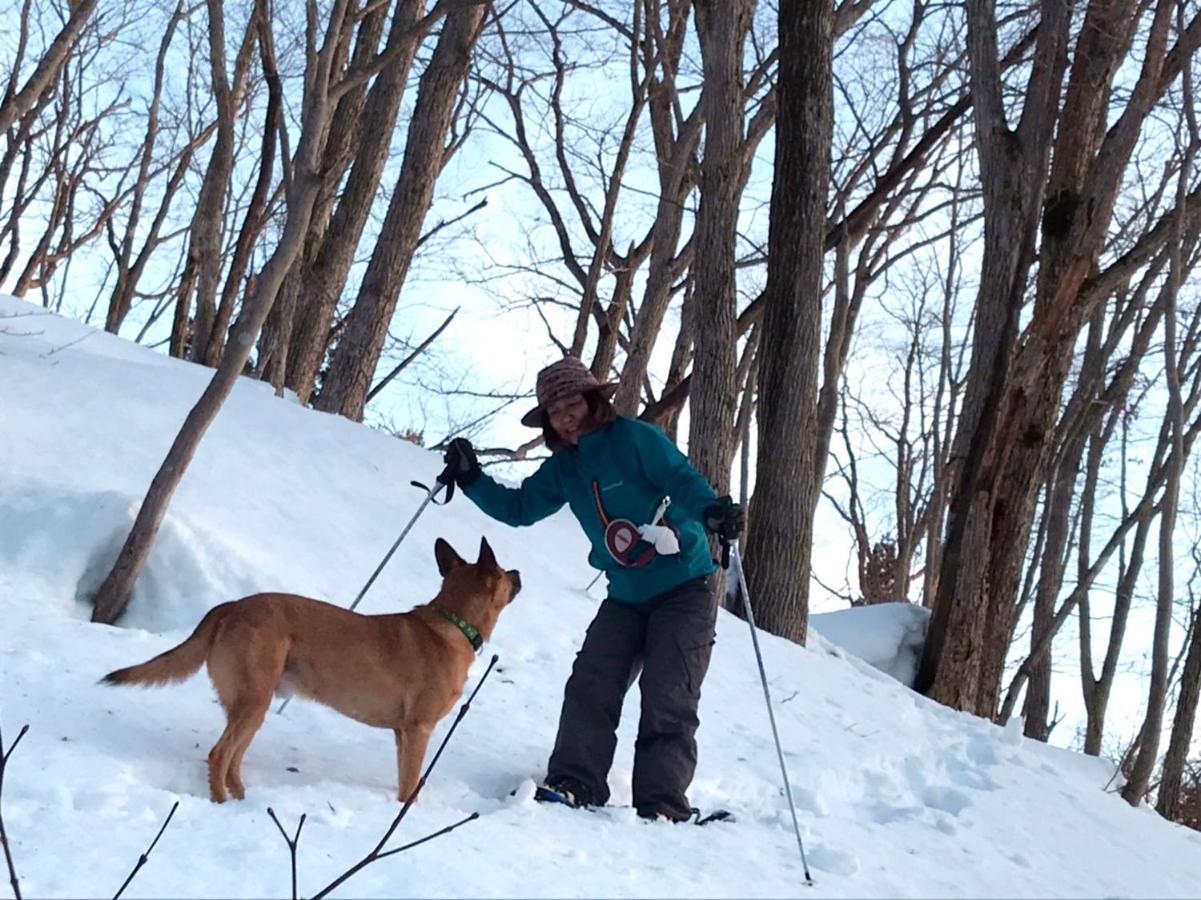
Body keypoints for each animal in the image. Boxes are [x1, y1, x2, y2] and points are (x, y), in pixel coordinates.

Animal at [102, 538, 516, 802]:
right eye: (504, 572)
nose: (519, 572)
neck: (454, 622)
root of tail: (230, 606)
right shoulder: (418, 729)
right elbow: (409, 785)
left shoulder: (402, 733)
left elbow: (403, 778)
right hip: (254, 700)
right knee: (219, 755)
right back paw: (220, 803)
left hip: (253, 704)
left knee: (233, 758)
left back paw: (242, 799)